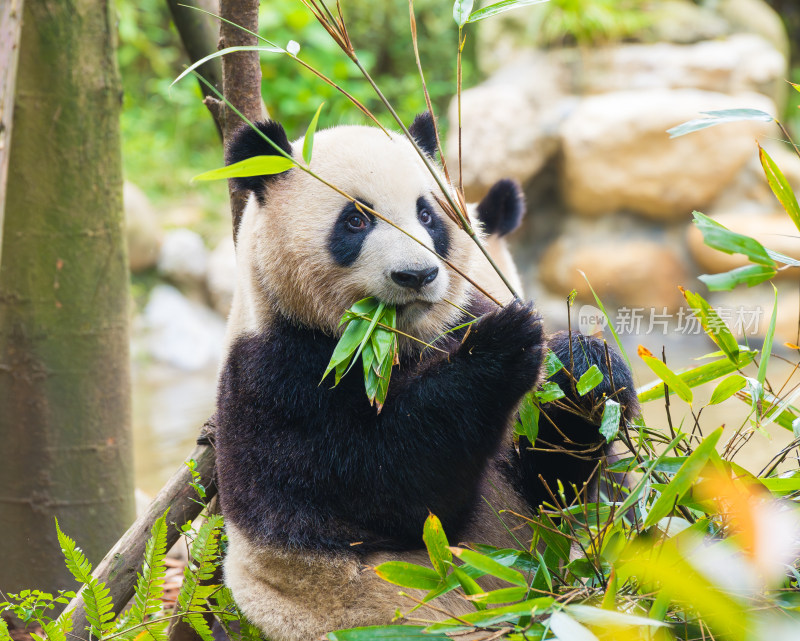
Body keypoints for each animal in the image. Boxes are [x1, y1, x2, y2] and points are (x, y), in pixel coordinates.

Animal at [214, 112, 636, 636]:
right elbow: (390, 489)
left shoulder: (454, 321)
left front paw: (584, 365)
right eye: (356, 219)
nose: (416, 275)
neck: (393, 342)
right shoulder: (276, 380)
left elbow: (551, 486)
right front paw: (502, 346)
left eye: (427, 214)